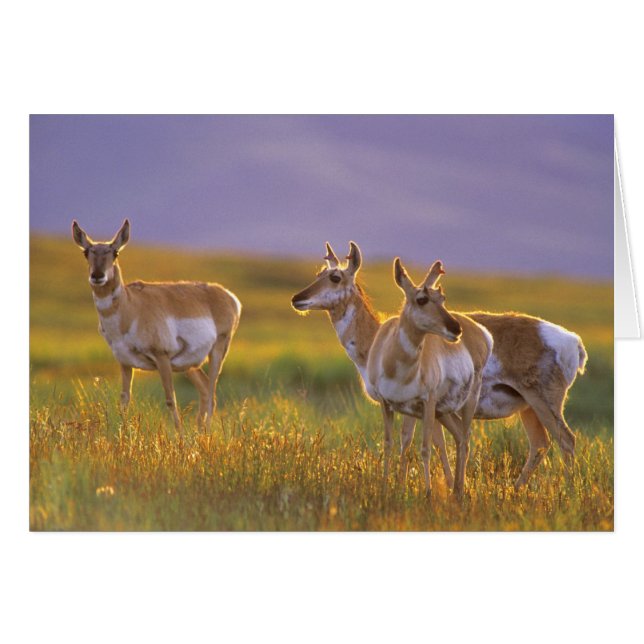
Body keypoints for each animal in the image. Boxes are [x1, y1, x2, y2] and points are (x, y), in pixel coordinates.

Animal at [71, 219, 241, 434]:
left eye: (115, 252)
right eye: (86, 252)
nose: (97, 275)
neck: (130, 307)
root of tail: (228, 295)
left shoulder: (162, 357)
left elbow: (171, 399)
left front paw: (180, 437)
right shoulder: (125, 363)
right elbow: (124, 400)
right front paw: (123, 435)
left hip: (218, 351)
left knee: (211, 393)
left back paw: (206, 433)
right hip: (189, 364)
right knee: (205, 389)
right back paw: (200, 431)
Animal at [291, 242, 587, 491]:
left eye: (335, 277)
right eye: (318, 273)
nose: (297, 299)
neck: (378, 336)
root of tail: (572, 341)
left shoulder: (417, 405)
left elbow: (408, 440)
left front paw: (406, 487)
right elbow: (437, 444)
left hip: (543, 401)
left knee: (566, 440)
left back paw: (568, 494)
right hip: (527, 408)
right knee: (540, 444)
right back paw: (514, 491)